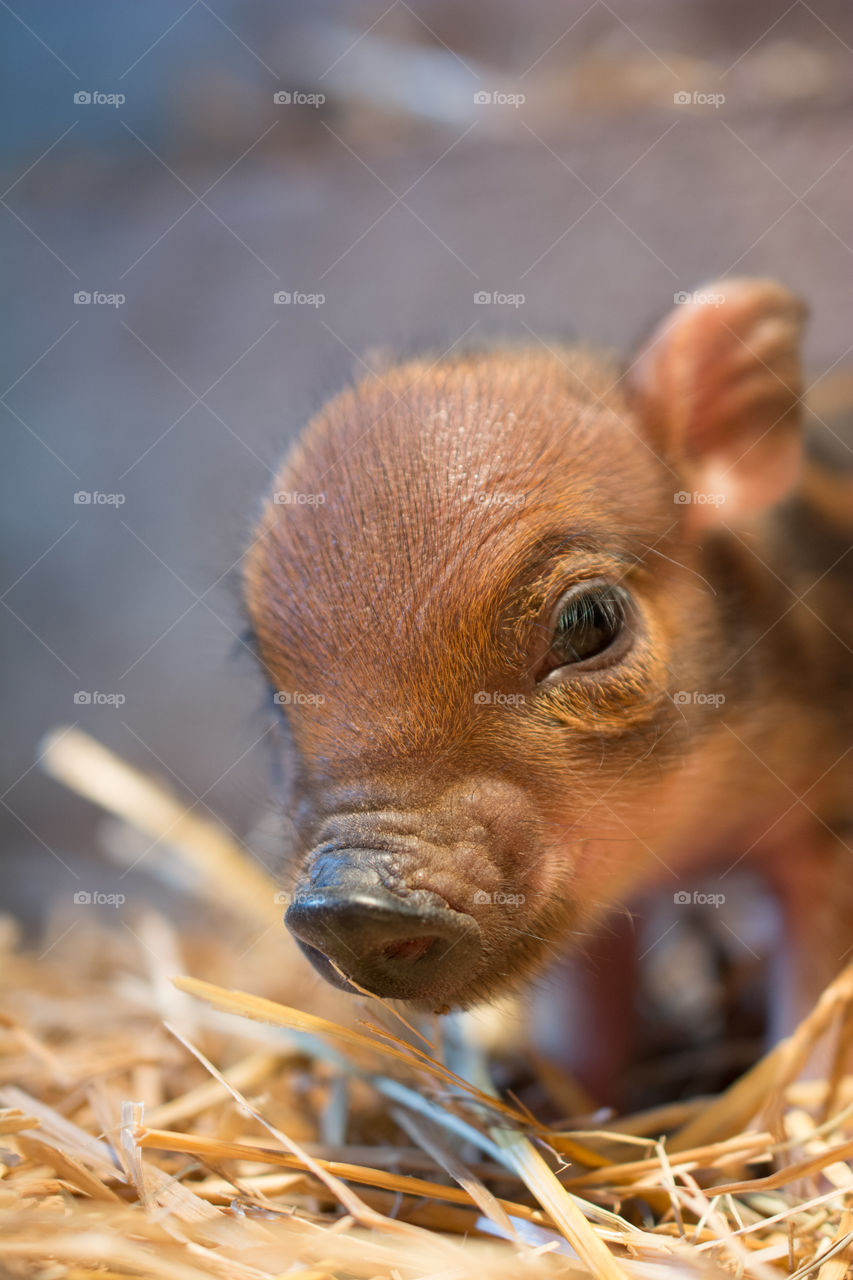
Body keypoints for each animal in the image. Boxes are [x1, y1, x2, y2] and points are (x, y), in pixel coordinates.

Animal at [244, 280, 853, 1073]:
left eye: (588, 622)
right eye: (273, 688)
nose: (347, 904)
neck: (695, 840)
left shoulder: (828, 832)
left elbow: (811, 1015)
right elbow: (586, 1023)